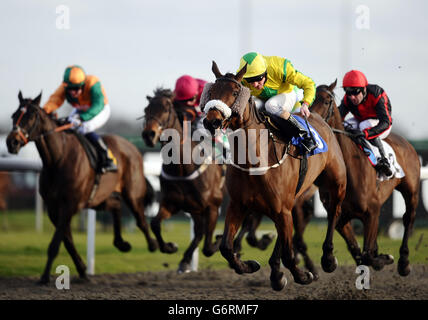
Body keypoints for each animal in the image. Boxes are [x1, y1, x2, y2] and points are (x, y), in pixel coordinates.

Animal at [6, 91, 158, 284]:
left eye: (31, 116)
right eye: (14, 115)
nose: (12, 142)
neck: (58, 159)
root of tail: (133, 148)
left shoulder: (69, 205)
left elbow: (55, 244)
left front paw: (45, 276)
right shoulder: (53, 208)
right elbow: (67, 241)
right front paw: (83, 270)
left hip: (132, 192)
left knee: (140, 219)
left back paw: (156, 245)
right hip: (97, 199)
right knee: (116, 205)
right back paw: (121, 243)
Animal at [142, 87, 226, 272]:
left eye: (166, 109)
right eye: (146, 110)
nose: (148, 134)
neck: (182, 168)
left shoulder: (213, 206)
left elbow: (208, 247)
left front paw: (218, 240)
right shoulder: (171, 204)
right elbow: (155, 224)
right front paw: (170, 247)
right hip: (195, 209)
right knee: (199, 231)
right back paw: (185, 260)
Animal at [204, 62, 348, 290]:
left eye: (235, 92)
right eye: (211, 92)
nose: (212, 121)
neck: (254, 160)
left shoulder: (281, 208)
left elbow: (289, 254)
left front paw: (304, 275)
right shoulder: (239, 204)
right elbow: (226, 247)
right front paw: (250, 265)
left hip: (336, 184)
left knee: (334, 212)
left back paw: (327, 258)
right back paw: (276, 272)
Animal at [310, 81, 420, 276]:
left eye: (327, 101)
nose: (309, 118)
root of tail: (407, 143)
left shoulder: (372, 212)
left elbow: (367, 255)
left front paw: (385, 258)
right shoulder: (342, 217)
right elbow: (357, 251)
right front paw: (330, 260)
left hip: (411, 191)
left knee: (408, 218)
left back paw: (404, 262)